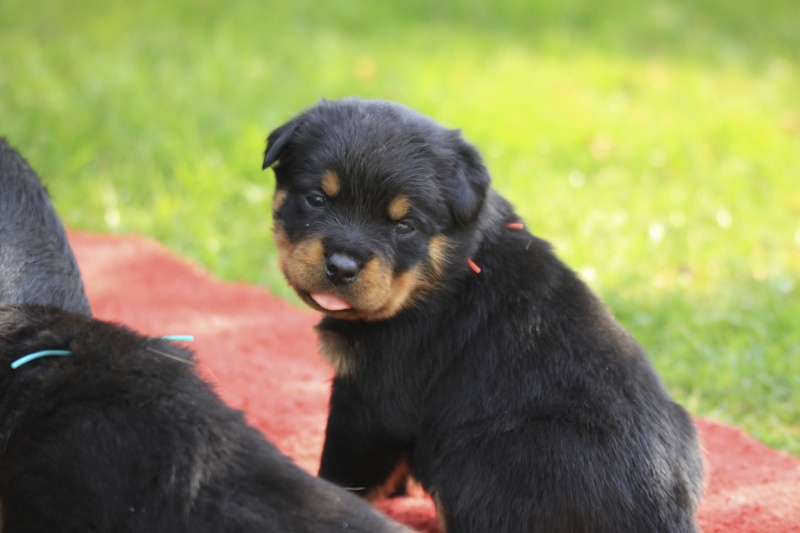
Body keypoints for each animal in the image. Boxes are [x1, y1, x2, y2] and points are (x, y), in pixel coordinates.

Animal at [264, 97, 708, 528]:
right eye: (316, 199)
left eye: (404, 226)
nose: (341, 266)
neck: (444, 277)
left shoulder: (371, 401)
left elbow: (343, 473)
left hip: (478, 458)